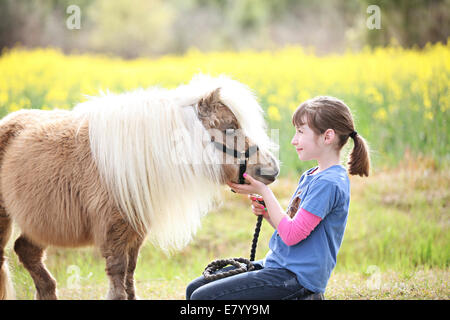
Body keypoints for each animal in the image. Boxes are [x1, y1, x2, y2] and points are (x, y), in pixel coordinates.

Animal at [0, 75, 280, 300]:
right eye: (229, 127)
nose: (271, 169)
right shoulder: (113, 234)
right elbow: (118, 281)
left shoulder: (134, 234)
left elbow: (130, 278)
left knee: (27, 253)